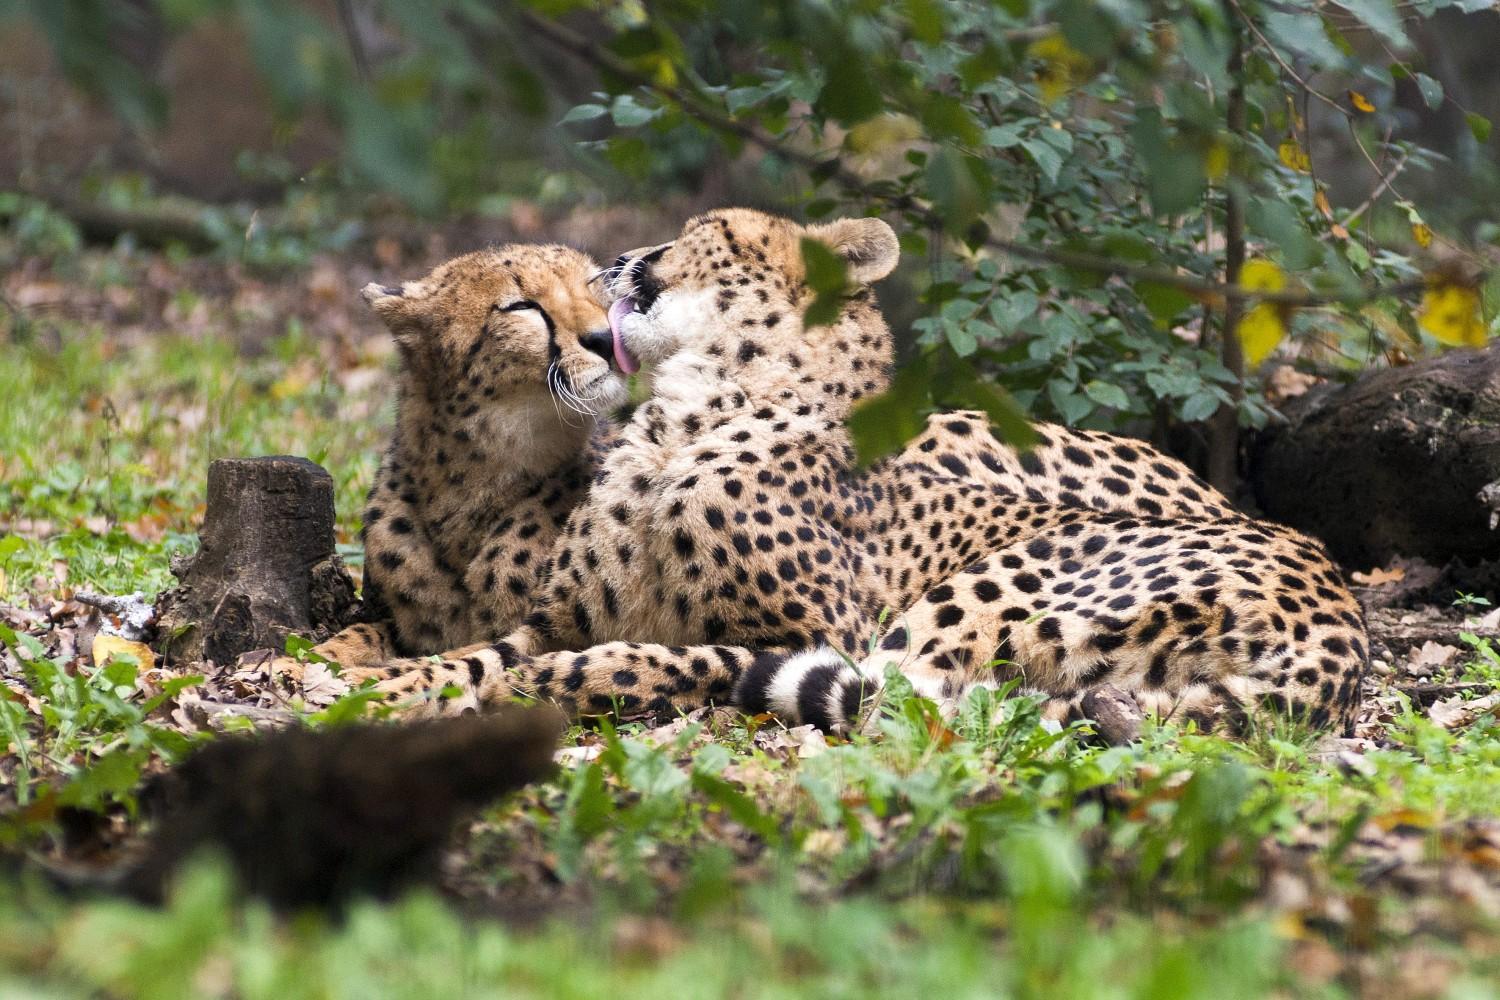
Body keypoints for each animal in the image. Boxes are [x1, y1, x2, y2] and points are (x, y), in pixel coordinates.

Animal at [304, 244, 627, 671]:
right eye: (522, 305)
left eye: (595, 285)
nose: (606, 338)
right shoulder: (404, 628)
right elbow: (358, 634)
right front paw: (304, 661)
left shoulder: (544, 635)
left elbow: (440, 661)